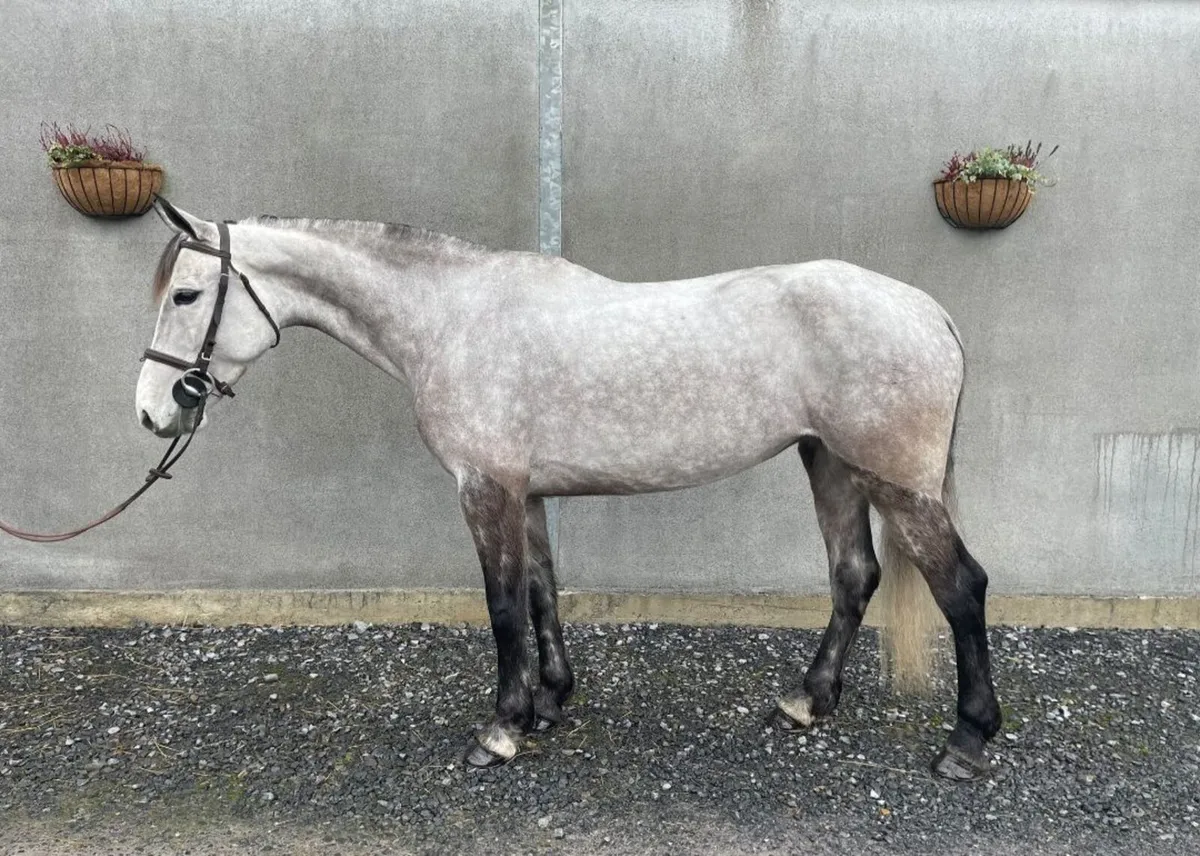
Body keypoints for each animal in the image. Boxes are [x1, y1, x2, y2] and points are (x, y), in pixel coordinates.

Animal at [136, 198, 1000, 781]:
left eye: (186, 295)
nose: (153, 410)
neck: (451, 317)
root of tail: (928, 310)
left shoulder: (485, 487)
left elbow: (501, 606)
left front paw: (500, 731)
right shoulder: (526, 492)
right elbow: (542, 593)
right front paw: (548, 702)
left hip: (894, 483)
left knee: (960, 586)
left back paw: (965, 742)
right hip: (829, 463)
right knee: (854, 576)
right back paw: (805, 702)